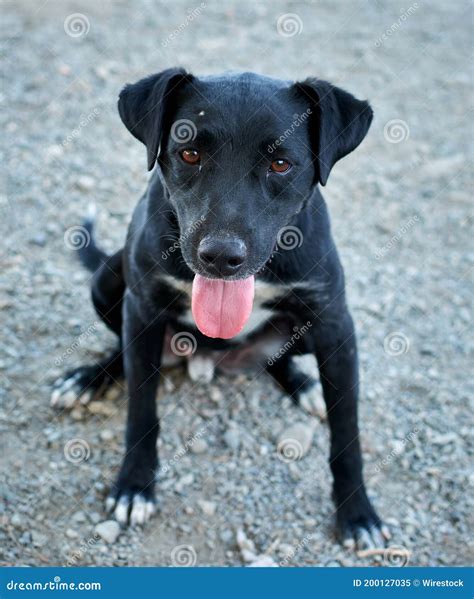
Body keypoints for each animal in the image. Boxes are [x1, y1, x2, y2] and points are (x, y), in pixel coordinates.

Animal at [51, 69, 386, 548]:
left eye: (281, 164)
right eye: (188, 153)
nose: (221, 257)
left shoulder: (336, 325)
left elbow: (347, 435)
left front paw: (357, 513)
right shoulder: (143, 308)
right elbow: (141, 409)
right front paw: (135, 485)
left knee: (278, 360)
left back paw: (304, 385)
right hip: (109, 278)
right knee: (122, 350)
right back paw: (86, 378)